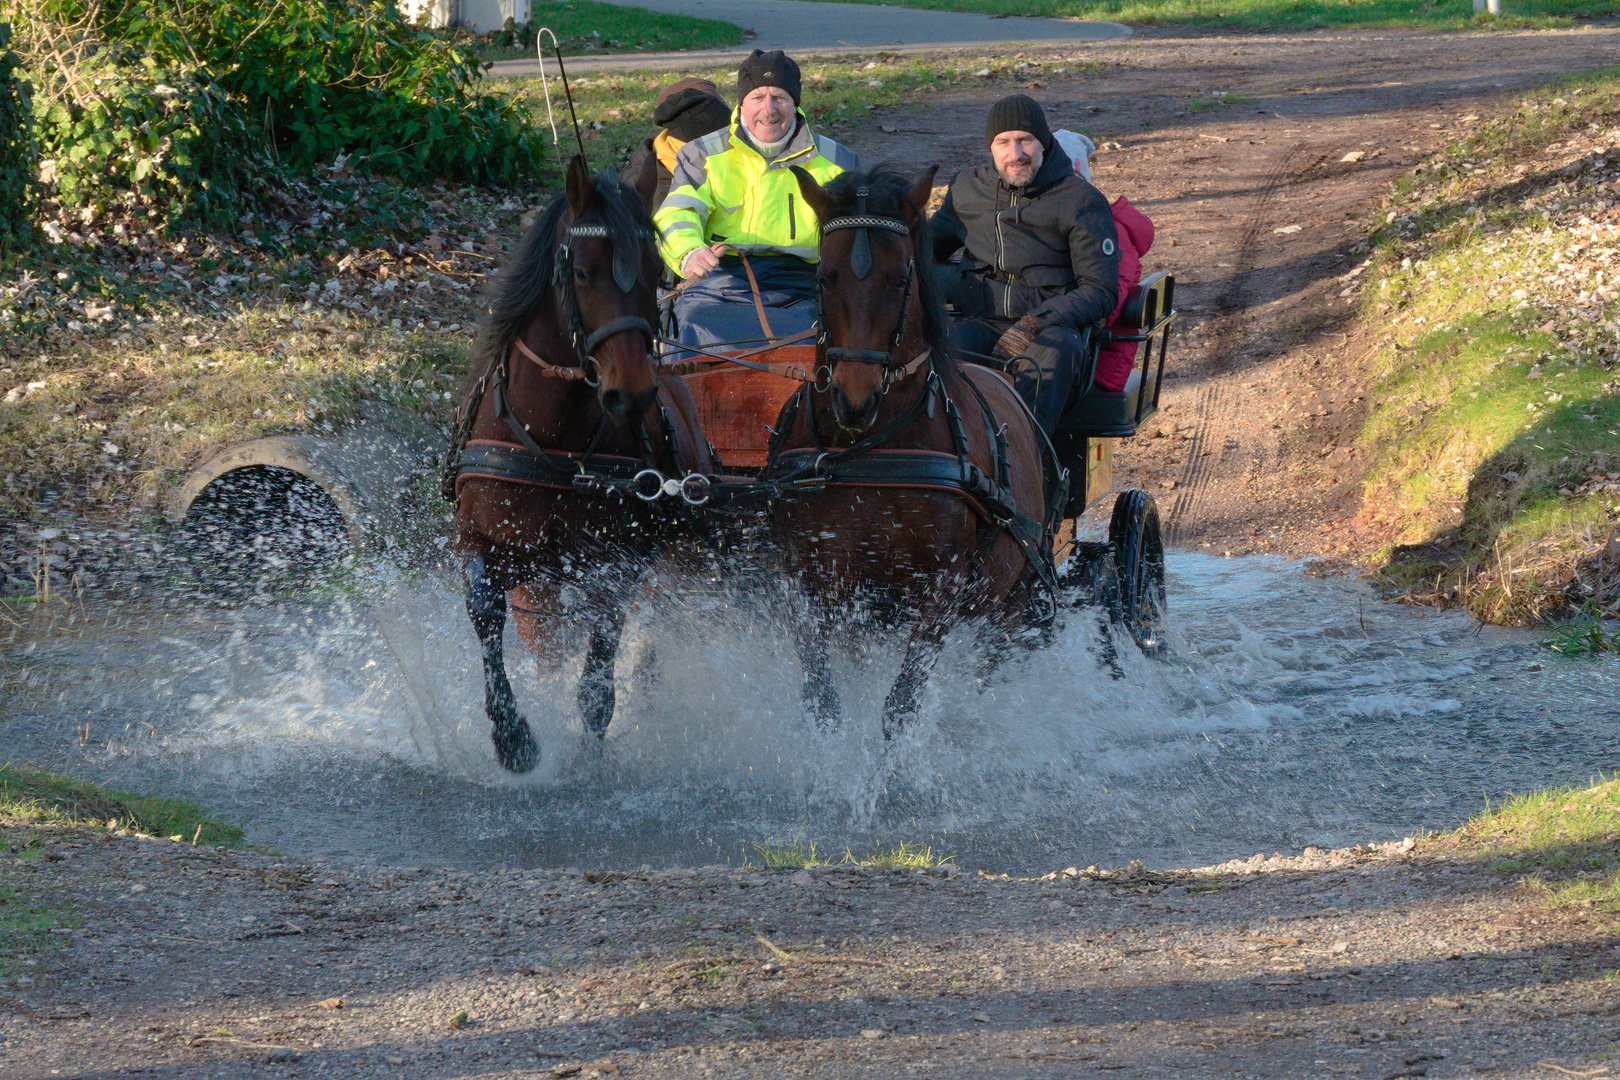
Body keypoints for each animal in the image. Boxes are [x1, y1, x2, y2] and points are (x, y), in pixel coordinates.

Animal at [450, 156, 716, 773]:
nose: (631, 394)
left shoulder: (618, 560)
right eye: (583, 272)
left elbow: (603, 652)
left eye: (655, 271)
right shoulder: (479, 539)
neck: (555, 445)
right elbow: (484, 608)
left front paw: (591, 737)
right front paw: (513, 735)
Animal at [767, 166, 1062, 744]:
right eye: (824, 277)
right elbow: (823, 699)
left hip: (1011, 601)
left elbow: (900, 707)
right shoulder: (811, 582)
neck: (872, 450)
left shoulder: (939, 592)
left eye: (900, 280)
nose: (853, 398)